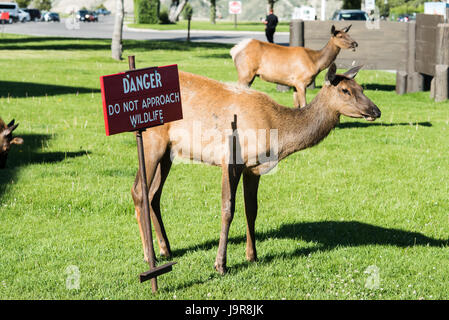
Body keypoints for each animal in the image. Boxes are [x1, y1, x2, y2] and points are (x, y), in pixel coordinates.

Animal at [131, 63, 380, 276]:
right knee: (139, 191)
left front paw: (252, 256)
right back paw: (149, 256)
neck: (276, 132)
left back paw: (165, 249)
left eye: (362, 87)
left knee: (154, 194)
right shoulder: (230, 158)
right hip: (152, 140)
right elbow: (228, 209)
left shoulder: (253, 167)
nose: (375, 111)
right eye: (345, 90)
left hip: (170, 151)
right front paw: (221, 265)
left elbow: (252, 209)